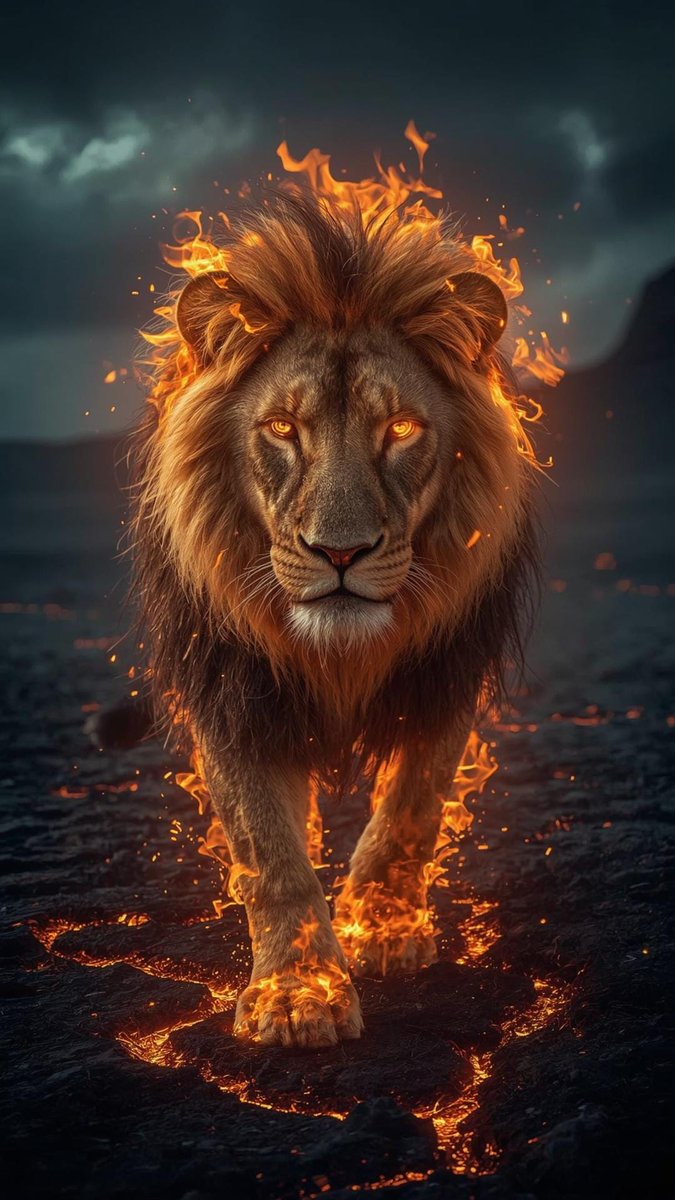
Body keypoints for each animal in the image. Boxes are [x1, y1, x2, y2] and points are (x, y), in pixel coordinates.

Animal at [125, 192, 539, 1049]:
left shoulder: (445, 673)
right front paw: (296, 992)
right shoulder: (231, 693)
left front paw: (380, 928)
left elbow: (412, 807)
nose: (340, 551)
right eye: (283, 429)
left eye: (401, 429)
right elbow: (270, 853)